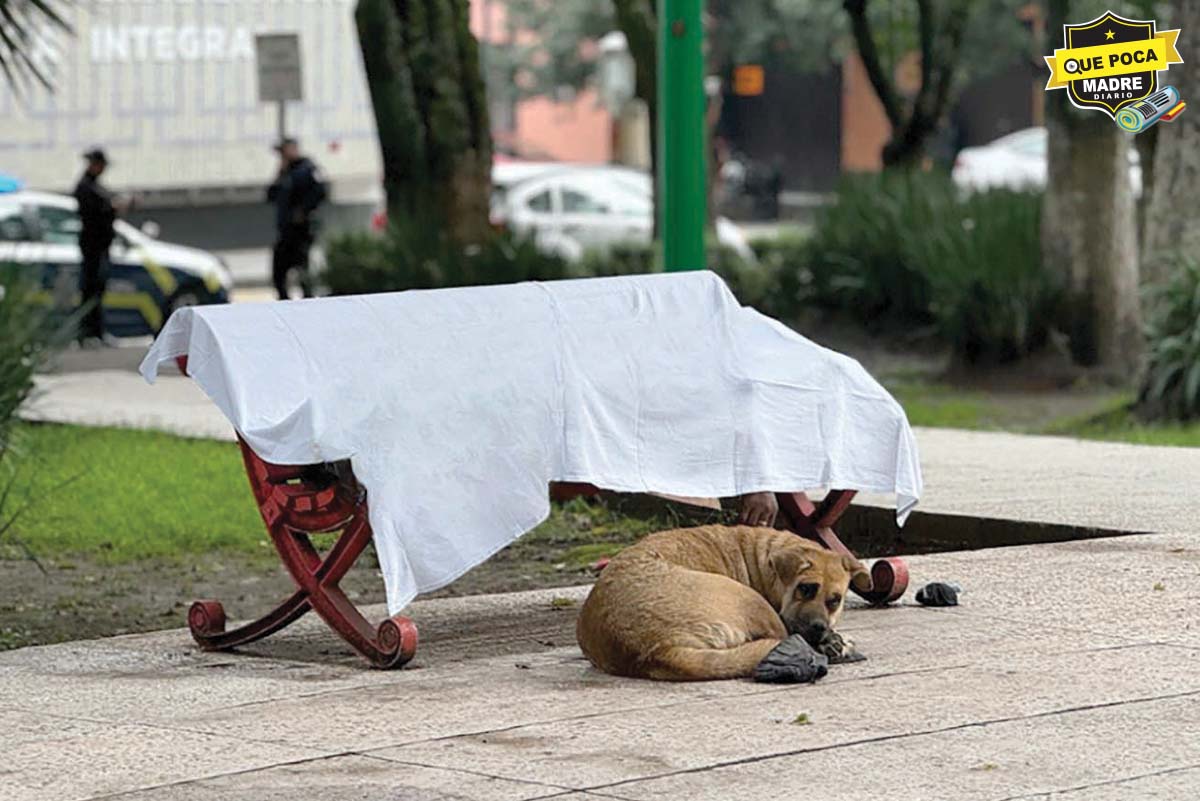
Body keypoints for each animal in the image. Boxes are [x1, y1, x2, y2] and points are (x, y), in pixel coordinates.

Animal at [576, 525, 868, 681]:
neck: (762, 559)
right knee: (783, 638)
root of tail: (657, 650)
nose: (818, 627)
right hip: (749, 599)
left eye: (834, 601)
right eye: (805, 588)